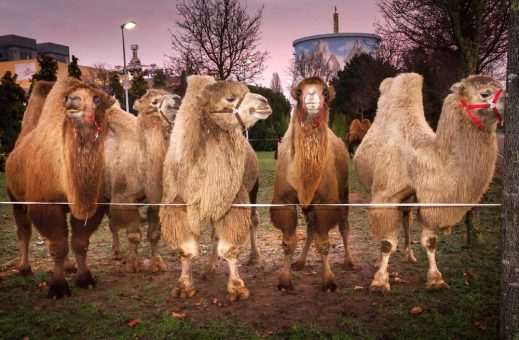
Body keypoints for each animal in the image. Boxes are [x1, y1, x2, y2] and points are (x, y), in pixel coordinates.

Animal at [6, 77, 114, 298]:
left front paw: (85, 279)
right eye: (67, 97)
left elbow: (79, 243)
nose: (73, 100)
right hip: (15, 197)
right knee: (24, 231)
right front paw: (58, 288)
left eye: (97, 98)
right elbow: (58, 245)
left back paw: (69, 266)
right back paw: (24, 268)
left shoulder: (94, 205)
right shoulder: (45, 205)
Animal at [104, 89, 182, 272]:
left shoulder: (157, 199)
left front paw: (158, 263)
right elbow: (133, 235)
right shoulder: (125, 198)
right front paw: (134, 264)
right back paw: (116, 254)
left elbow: (154, 235)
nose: (177, 98)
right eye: (154, 101)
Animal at [160, 75, 274, 302]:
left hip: (253, 188)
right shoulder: (178, 203)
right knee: (214, 234)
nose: (264, 102)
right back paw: (208, 270)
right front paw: (184, 287)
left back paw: (255, 258)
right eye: (230, 98)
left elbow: (229, 248)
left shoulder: (233, 199)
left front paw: (236, 289)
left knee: (253, 220)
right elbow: (187, 250)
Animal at [270, 76, 356, 292]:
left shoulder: (325, 201)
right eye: (300, 92)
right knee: (310, 228)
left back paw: (350, 262)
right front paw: (285, 281)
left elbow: (324, 243)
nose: (311, 95)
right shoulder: (285, 201)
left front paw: (329, 281)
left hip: (344, 191)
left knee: (343, 225)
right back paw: (300, 261)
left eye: (324, 91)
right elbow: (288, 243)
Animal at [356, 73, 506, 292]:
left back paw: (409, 255)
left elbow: (430, 241)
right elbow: (387, 242)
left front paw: (436, 279)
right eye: (485, 93)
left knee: (406, 217)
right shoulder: (386, 194)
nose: (511, 99)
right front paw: (379, 281)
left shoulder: (431, 198)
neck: (423, 158)